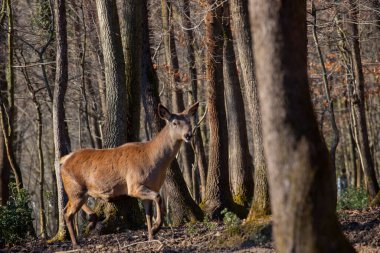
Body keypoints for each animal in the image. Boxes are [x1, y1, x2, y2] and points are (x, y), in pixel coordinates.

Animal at [59, 101, 199, 247]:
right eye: (175, 123)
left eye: (189, 121)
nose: (188, 135)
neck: (154, 161)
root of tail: (63, 160)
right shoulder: (134, 185)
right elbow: (158, 197)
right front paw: (156, 228)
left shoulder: (150, 186)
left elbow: (148, 213)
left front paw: (151, 236)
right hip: (75, 189)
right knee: (68, 213)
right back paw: (76, 242)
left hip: (79, 191)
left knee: (66, 209)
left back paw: (91, 222)